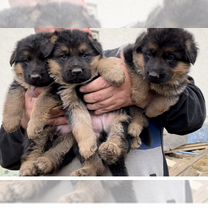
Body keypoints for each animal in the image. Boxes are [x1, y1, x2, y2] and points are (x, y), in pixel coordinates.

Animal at [2, 33, 74, 176]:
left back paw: (44, 162)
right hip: (36, 138)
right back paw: (28, 168)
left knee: (58, 150)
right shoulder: (20, 83)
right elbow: (13, 96)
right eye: (26, 60)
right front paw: (10, 123)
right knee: (33, 151)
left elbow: (42, 101)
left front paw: (33, 124)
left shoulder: (56, 89)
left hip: (69, 137)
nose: (35, 76)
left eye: (45, 59)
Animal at [48, 29, 132, 176]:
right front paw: (87, 146)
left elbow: (101, 61)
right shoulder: (70, 99)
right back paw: (86, 170)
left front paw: (116, 74)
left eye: (85, 55)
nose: (76, 71)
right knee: (98, 165)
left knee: (119, 143)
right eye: (63, 56)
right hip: (82, 142)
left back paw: (110, 149)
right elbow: (80, 122)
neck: (79, 83)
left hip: (119, 121)